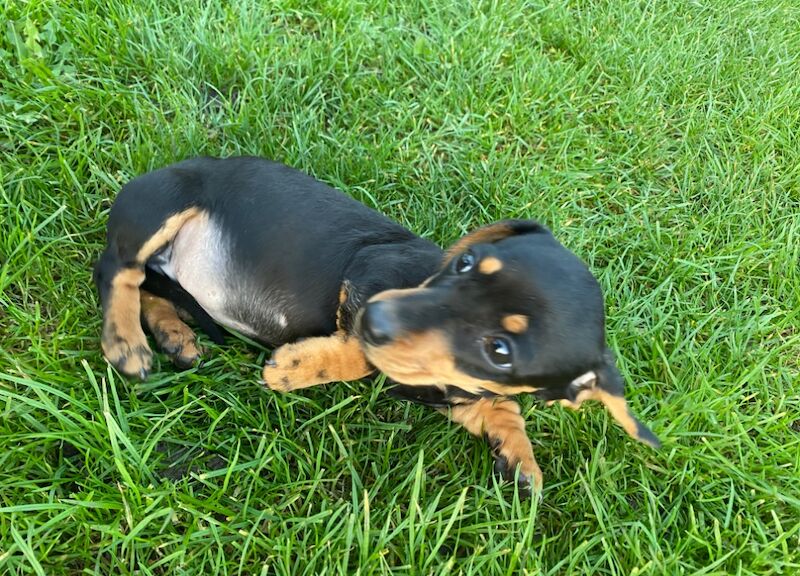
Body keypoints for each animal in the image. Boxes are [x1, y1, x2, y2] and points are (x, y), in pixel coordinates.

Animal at [94, 155, 660, 492]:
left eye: (500, 350)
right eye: (465, 263)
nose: (379, 317)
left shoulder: (461, 394)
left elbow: (502, 407)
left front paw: (521, 459)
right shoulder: (367, 275)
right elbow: (362, 358)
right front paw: (297, 367)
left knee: (148, 286)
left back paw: (174, 335)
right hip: (161, 206)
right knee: (118, 270)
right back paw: (126, 342)